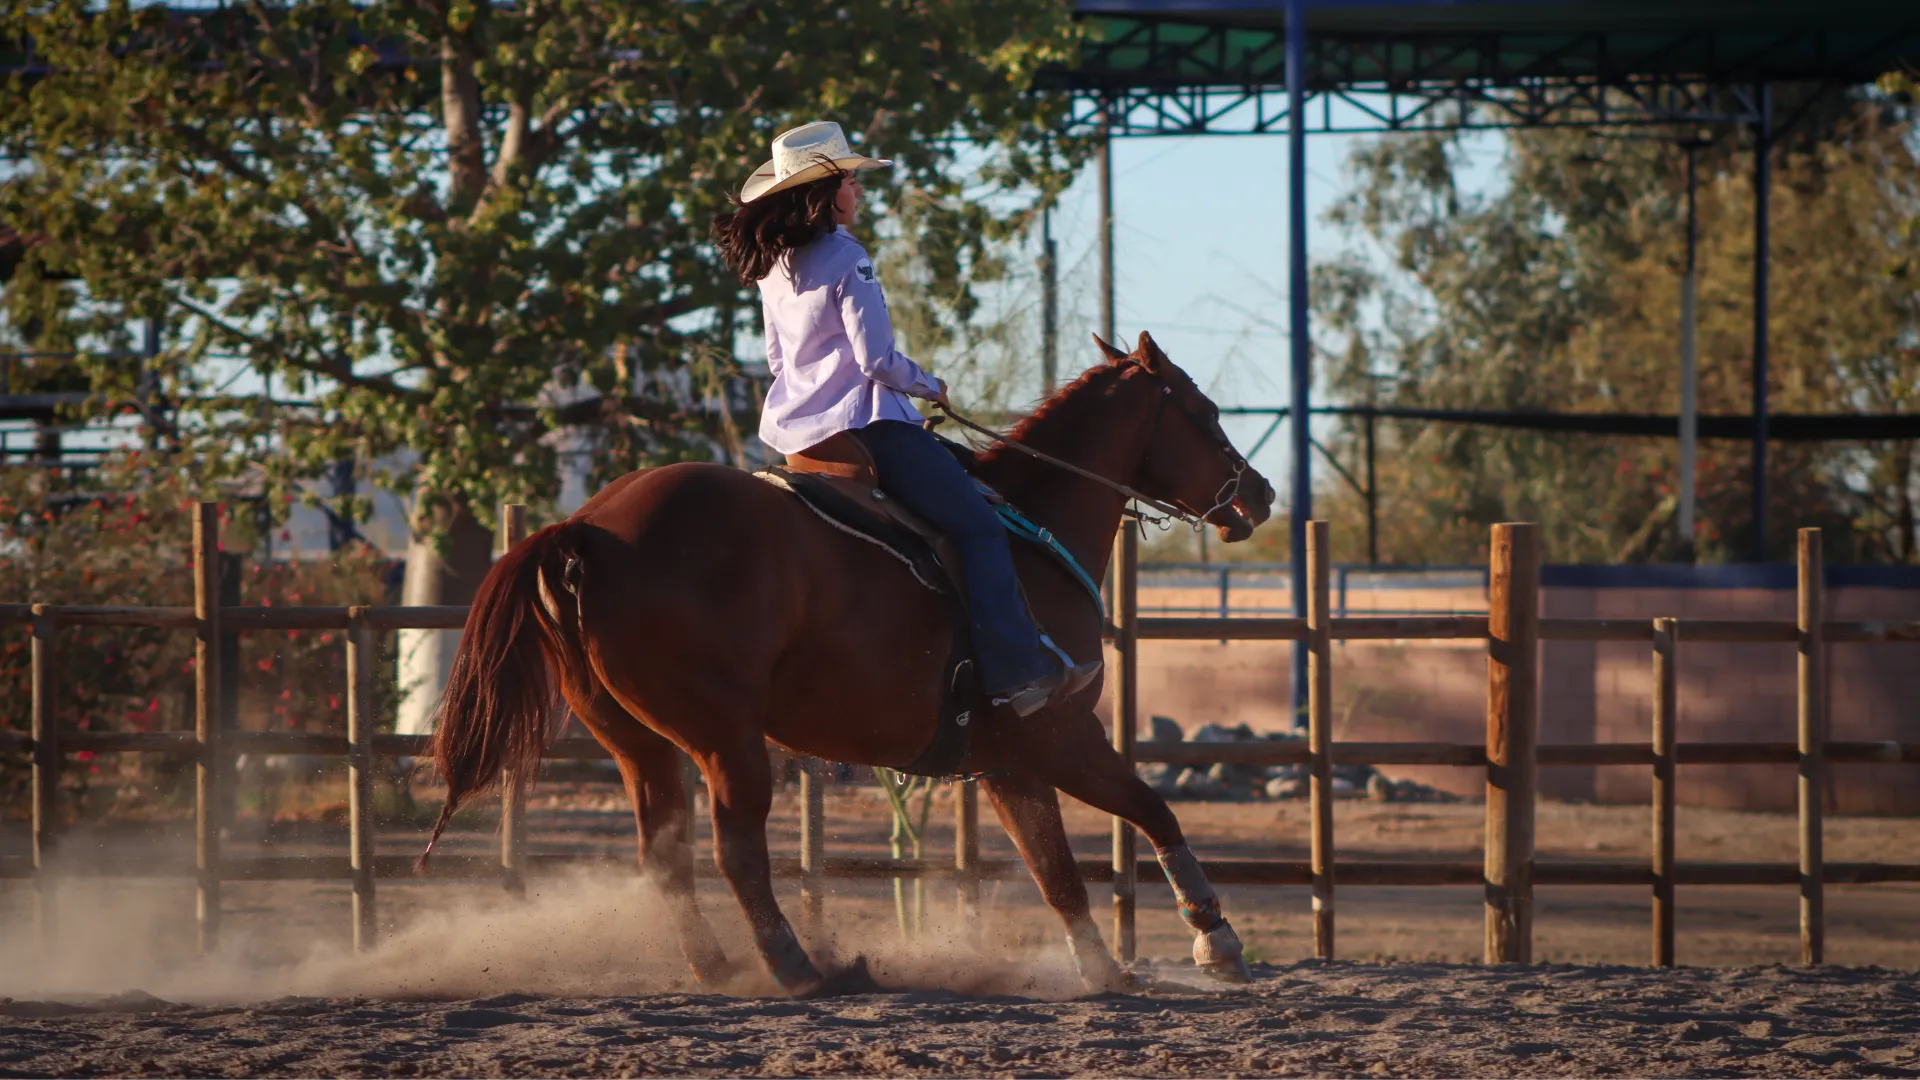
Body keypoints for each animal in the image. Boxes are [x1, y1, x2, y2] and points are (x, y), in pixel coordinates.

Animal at [423, 331, 1277, 995]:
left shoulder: (1008, 762)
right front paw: (1218, 942)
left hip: (638, 741)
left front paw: (1101, 970)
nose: (1262, 495)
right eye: (1205, 412)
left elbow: (1056, 869)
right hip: (724, 739)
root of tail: (587, 528)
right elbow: (1152, 810)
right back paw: (799, 968)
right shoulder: (1061, 733)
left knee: (664, 854)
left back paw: (720, 968)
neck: (1031, 523)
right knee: (737, 852)